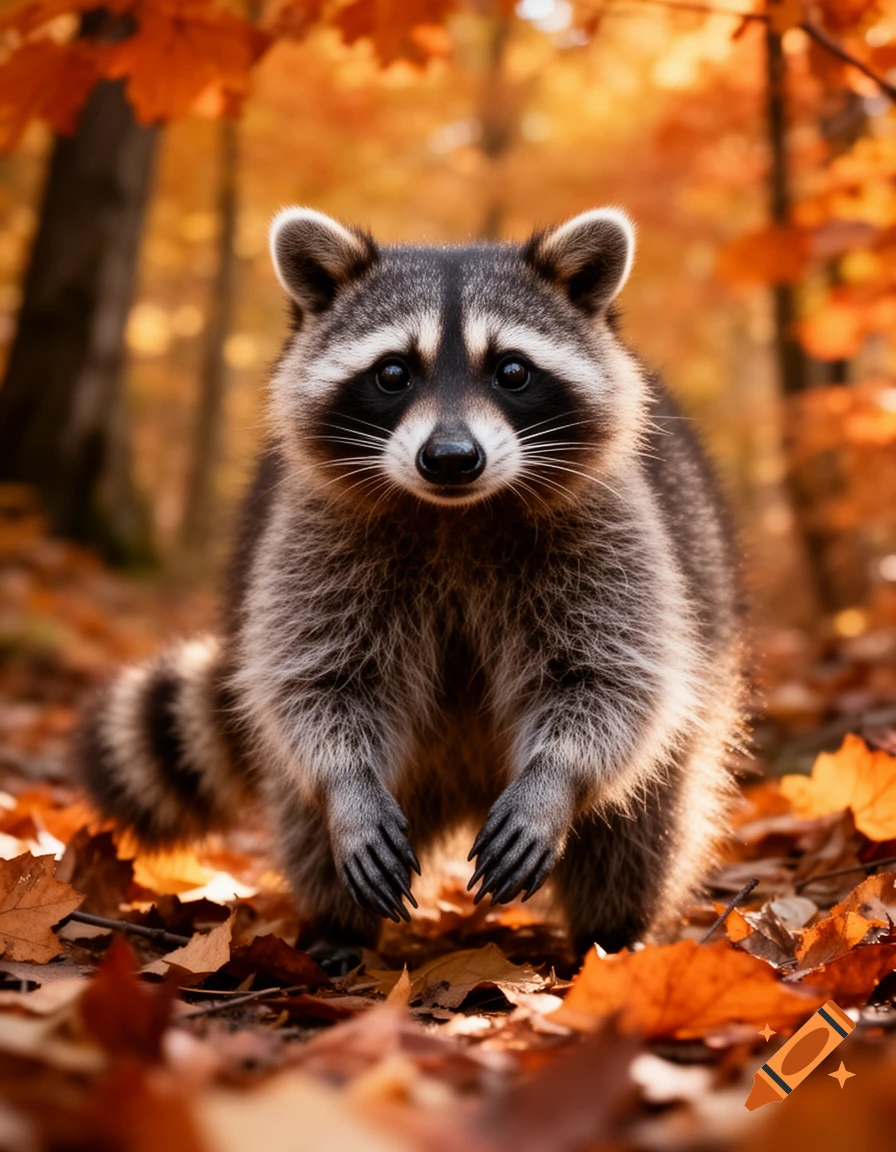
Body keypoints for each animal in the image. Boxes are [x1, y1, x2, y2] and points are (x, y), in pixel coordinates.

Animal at [78, 207, 744, 956]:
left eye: (513, 371)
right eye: (393, 372)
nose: (451, 458)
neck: (455, 513)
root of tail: (468, 786)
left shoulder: (613, 528)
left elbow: (608, 679)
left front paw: (555, 779)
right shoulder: (314, 533)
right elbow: (320, 683)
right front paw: (346, 784)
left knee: (640, 829)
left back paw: (612, 936)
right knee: (307, 825)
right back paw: (339, 927)